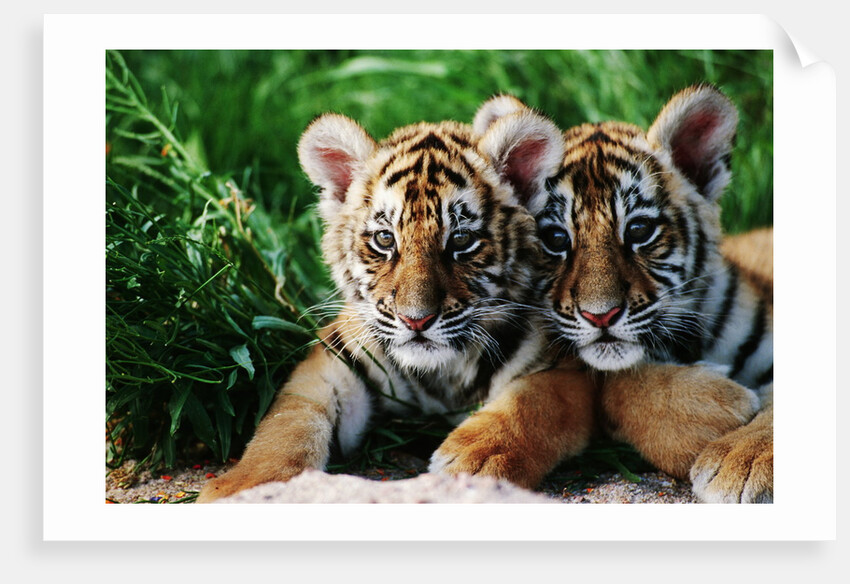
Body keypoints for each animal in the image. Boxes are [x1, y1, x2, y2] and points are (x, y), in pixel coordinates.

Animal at [196, 107, 600, 502]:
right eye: (385, 239)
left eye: (462, 240)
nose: (416, 320)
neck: (439, 376)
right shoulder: (333, 360)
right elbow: (288, 420)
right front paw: (247, 488)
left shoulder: (567, 368)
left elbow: (532, 402)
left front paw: (476, 459)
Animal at [431, 86, 772, 504]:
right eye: (555, 238)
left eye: (639, 230)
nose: (601, 316)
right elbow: (563, 394)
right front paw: (473, 459)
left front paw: (745, 462)